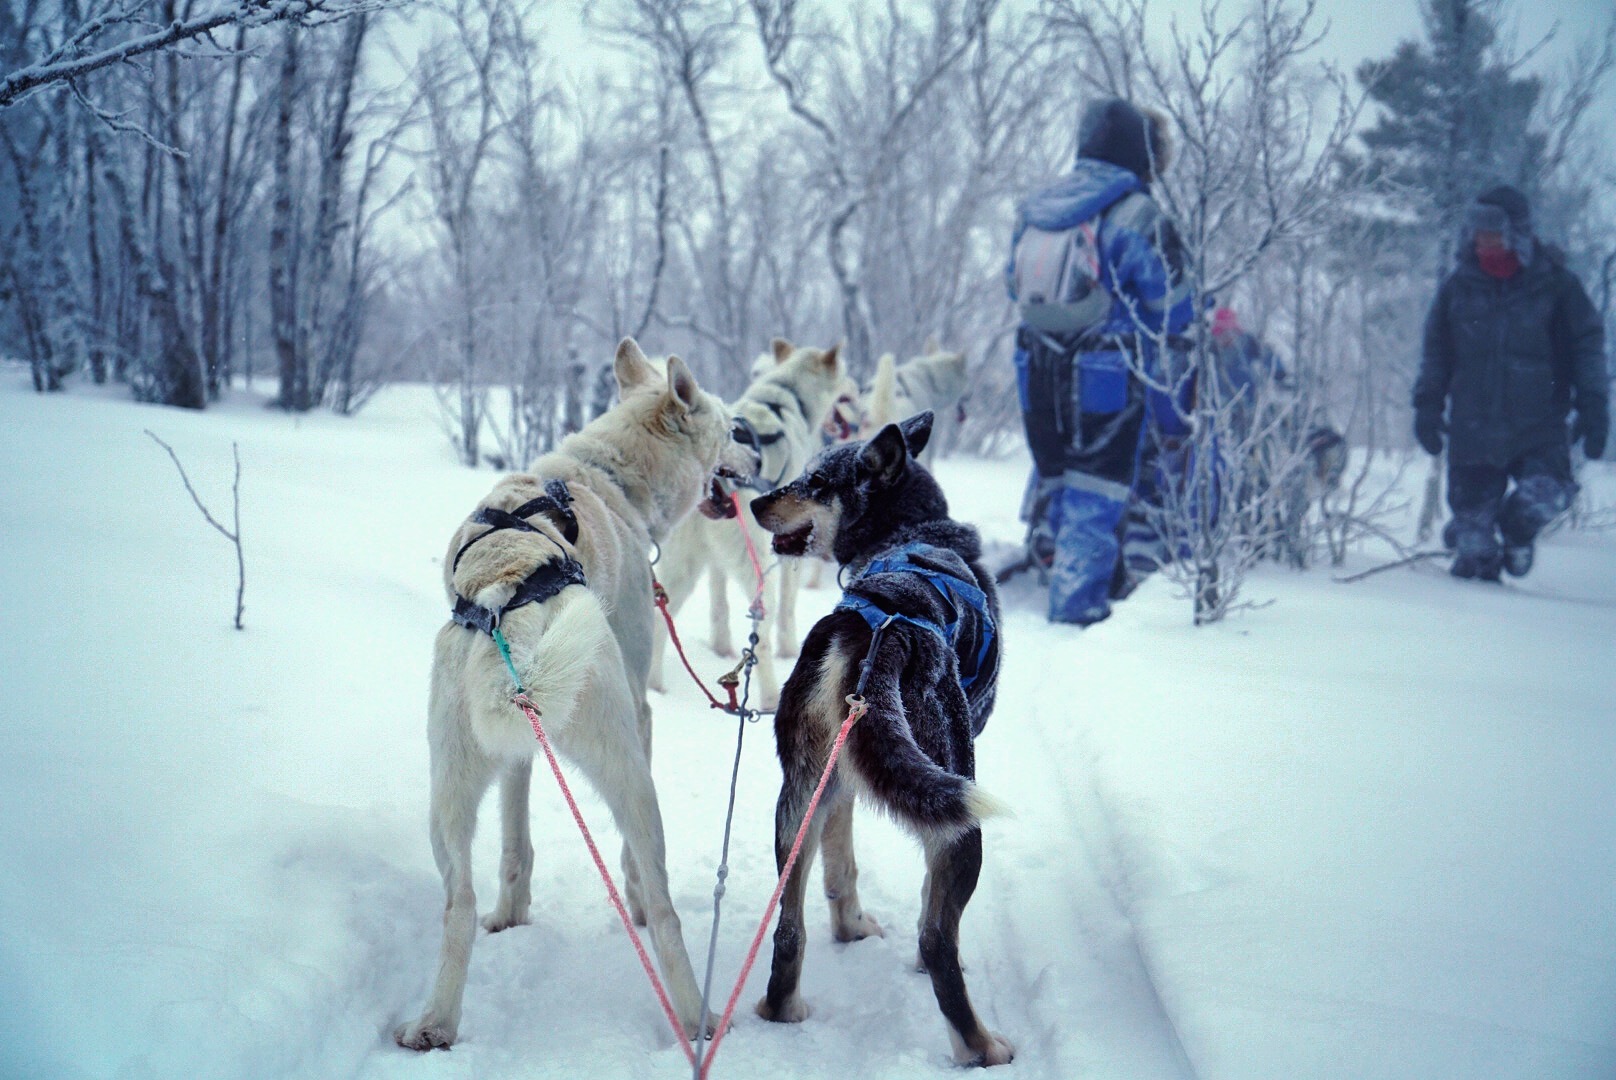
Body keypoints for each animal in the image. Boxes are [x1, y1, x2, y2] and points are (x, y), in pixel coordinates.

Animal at [400, 337, 759, 1047]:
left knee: (459, 904)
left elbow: (515, 846)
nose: (759, 455)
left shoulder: (518, 752)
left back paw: (436, 1022)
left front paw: (513, 914)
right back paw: (696, 1017)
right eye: (733, 429)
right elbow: (637, 875)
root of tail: (505, 594)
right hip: (628, 771)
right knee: (667, 910)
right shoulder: (642, 714)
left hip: (447, 796)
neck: (608, 478)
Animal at [646, 337, 846, 708]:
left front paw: (720, 645)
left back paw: (655, 687)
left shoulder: (714, 560)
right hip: (754, 571)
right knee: (760, 638)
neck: (783, 395)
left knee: (658, 621)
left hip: (683, 566)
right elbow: (787, 611)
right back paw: (769, 698)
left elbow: (718, 605)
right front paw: (788, 648)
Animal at [753, 410, 1008, 1060]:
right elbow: (926, 910)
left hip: (796, 801)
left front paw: (851, 929)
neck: (911, 532)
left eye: (817, 481)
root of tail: (873, 630)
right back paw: (981, 1048)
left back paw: (781, 1009)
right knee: (941, 944)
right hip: (960, 814)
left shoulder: (837, 786)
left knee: (788, 927)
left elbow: (841, 869)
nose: (757, 498)